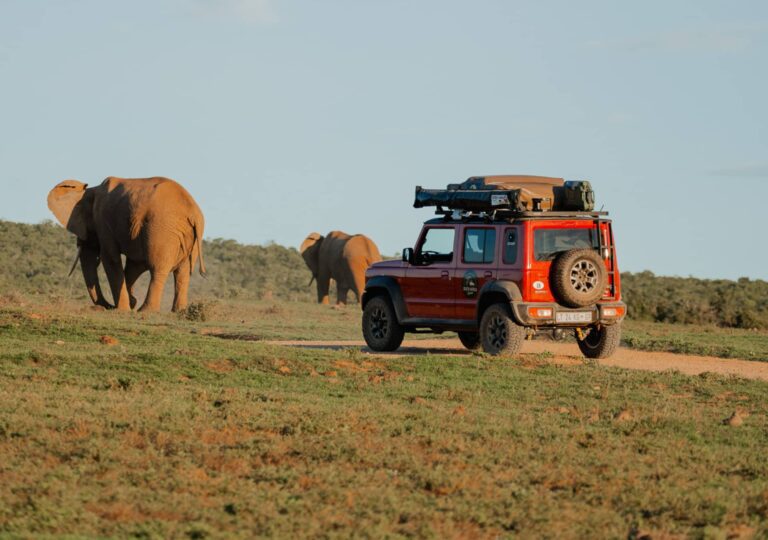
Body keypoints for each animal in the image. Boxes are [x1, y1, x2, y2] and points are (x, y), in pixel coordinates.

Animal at [47, 176, 206, 312]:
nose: (107, 307)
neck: (91, 190)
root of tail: (193, 212)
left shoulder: (103, 220)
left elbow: (110, 258)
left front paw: (123, 309)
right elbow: (134, 264)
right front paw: (131, 302)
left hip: (161, 229)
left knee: (158, 268)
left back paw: (146, 311)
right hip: (189, 235)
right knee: (183, 272)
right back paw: (178, 313)